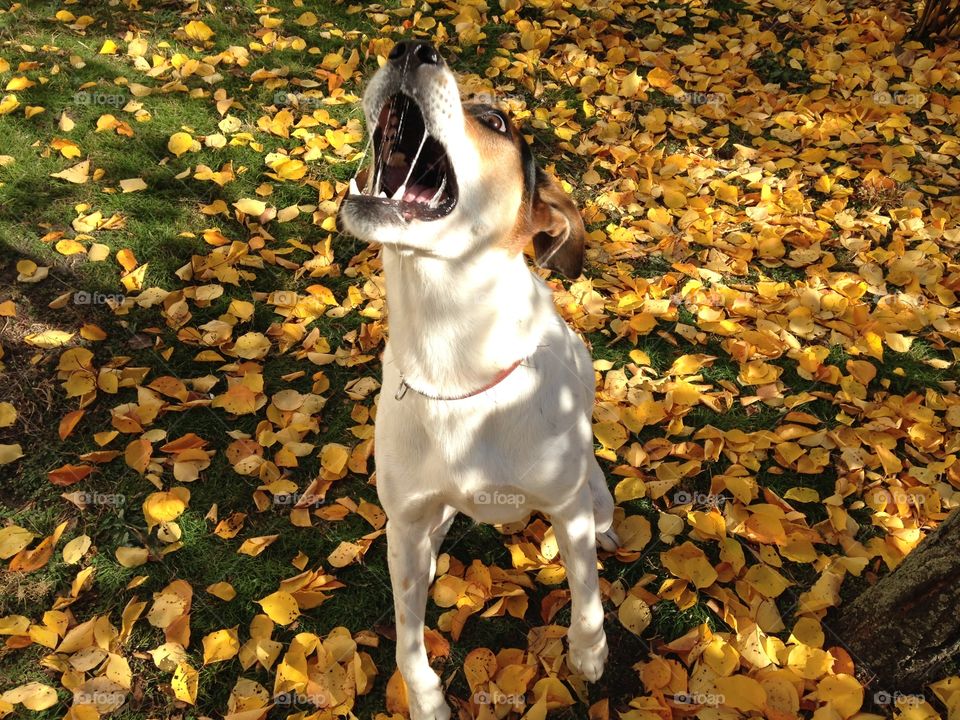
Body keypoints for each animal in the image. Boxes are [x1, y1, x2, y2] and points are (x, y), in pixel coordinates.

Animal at [342, 40, 620, 720]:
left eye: (495, 121)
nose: (411, 46)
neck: (451, 352)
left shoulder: (567, 508)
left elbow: (586, 589)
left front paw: (589, 653)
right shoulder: (405, 520)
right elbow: (406, 637)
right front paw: (424, 700)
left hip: (592, 494)